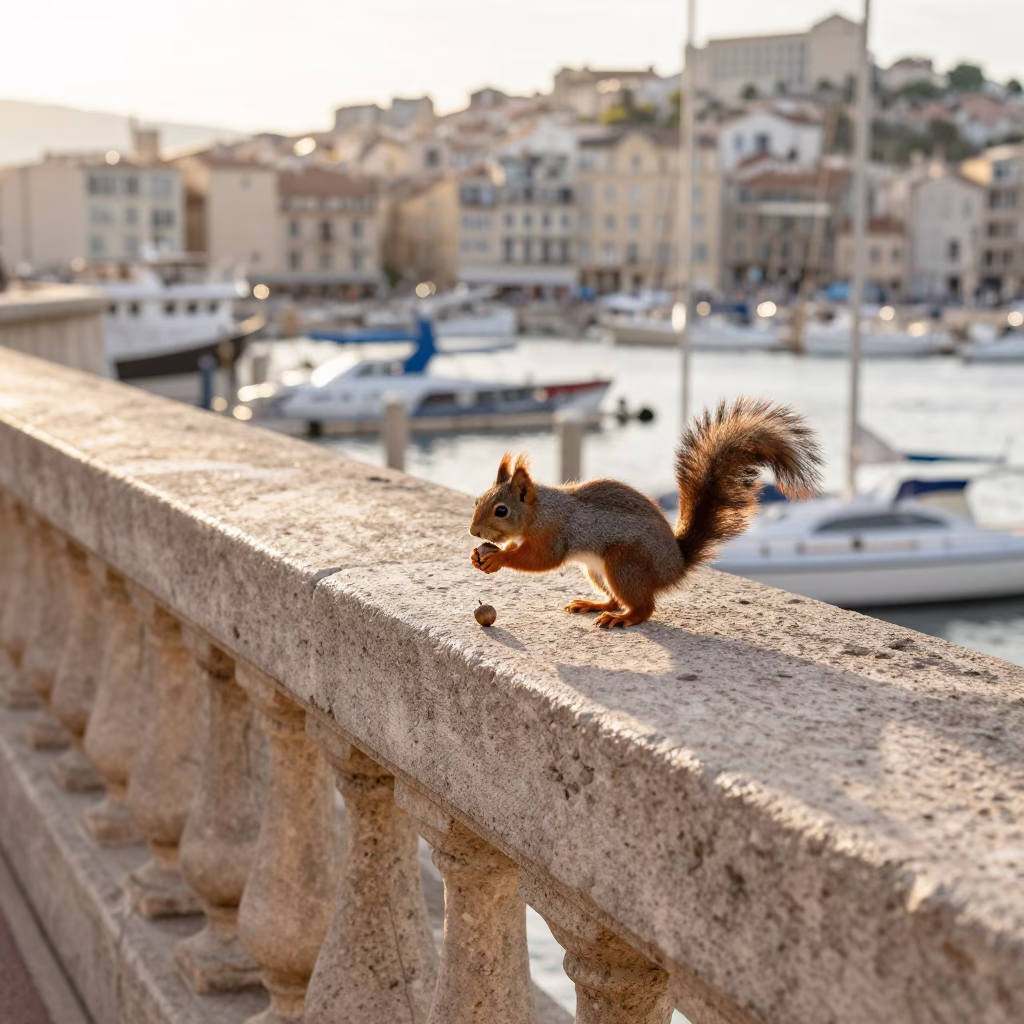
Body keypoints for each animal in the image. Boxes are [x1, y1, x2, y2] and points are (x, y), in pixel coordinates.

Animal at [470, 397, 823, 628]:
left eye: (501, 510)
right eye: (478, 502)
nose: (474, 532)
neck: (539, 512)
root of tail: (675, 566)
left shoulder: (554, 533)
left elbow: (539, 560)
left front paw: (500, 558)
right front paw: (479, 556)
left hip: (624, 563)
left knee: (644, 607)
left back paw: (623, 619)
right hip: (599, 572)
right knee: (616, 597)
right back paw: (594, 604)